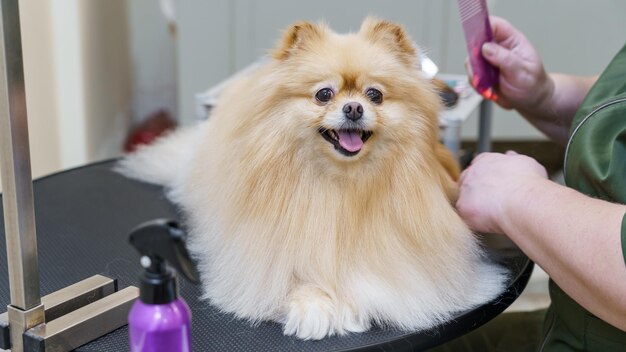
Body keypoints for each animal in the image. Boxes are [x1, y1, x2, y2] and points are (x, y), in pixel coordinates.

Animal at [119, 17, 504, 340]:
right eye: (324, 94)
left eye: (374, 95)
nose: (354, 108)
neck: (341, 185)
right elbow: (296, 279)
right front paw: (314, 309)